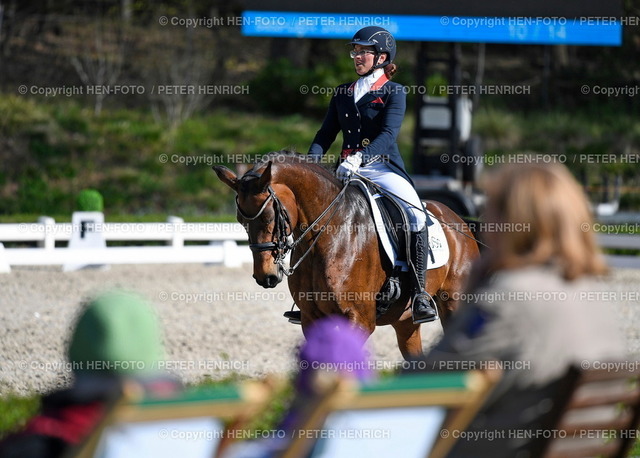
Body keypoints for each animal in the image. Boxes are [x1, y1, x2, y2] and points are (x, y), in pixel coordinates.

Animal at [215, 150, 480, 358]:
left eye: (270, 216)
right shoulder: (311, 319)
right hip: (405, 321)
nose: (266, 276)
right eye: (240, 221)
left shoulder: (359, 320)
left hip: (454, 304)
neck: (329, 236)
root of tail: (457, 220)